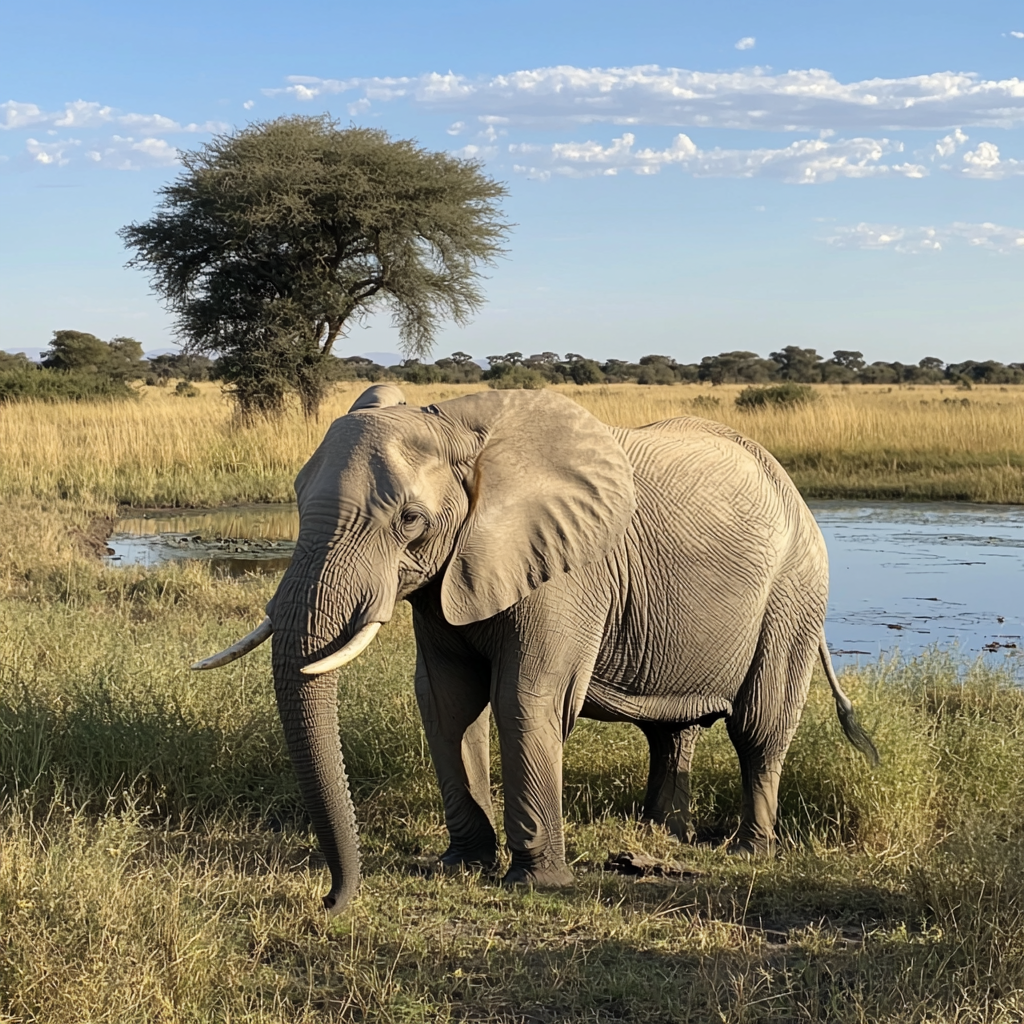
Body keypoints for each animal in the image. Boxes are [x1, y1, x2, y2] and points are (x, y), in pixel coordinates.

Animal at [193, 385, 880, 913]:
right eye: (296, 499)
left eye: (410, 520)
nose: (330, 900)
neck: (457, 427)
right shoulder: (449, 575)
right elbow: (446, 700)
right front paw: (460, 866)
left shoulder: (568, 572)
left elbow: (525, 697)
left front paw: (535, 883)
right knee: (671, 729)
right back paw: (660, 835)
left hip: (793, 592)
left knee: (760, 726)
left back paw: (747, 849)